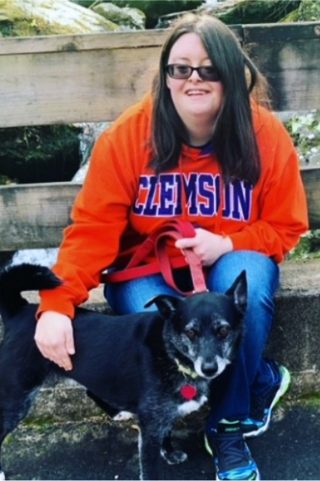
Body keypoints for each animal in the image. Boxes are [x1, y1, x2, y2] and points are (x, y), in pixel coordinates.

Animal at [0, 262, 246, 480]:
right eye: (191, 332)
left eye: (223, 331)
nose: (209, 368)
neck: (170, 352)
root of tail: (19, 310)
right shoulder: (150, 427)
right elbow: (150, 470)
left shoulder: (160, 416)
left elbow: (167, 430)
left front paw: (168, 452)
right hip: (15, 399)